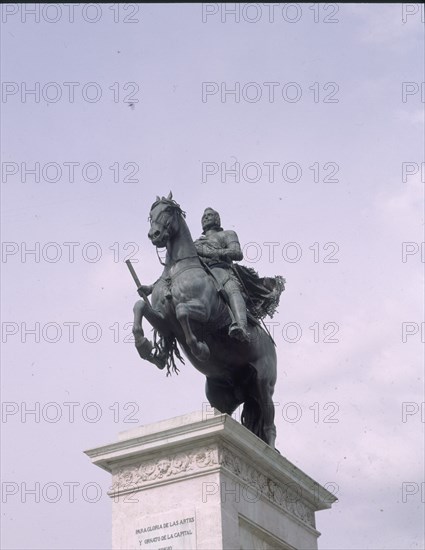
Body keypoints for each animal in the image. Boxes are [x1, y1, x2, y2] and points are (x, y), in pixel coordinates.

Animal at [132, 194, 278, 448]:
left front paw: (200, 348)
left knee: (270, 423)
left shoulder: (207, 313)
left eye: (168, 210)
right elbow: (139, 306)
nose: (154, 234)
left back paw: (270, 450)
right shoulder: (163, 320)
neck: (175, 271)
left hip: (264, 385)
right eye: (151, 214)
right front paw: (146, 348)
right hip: (221, 395)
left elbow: (182, 311)